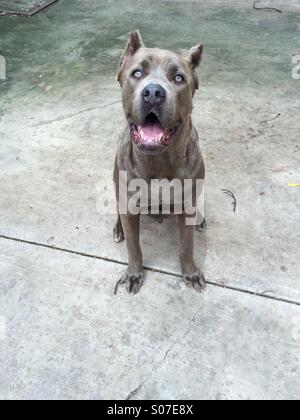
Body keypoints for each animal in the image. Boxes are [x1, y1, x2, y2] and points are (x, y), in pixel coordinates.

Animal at [113, 31, 206, 294]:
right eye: (137, 73)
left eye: (178, 78)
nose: (153, 93)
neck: (159, 162)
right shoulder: (128, 203)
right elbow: (134, 247)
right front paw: (134, 273)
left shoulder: (186, 204)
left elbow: (186, 245)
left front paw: (190, 272)